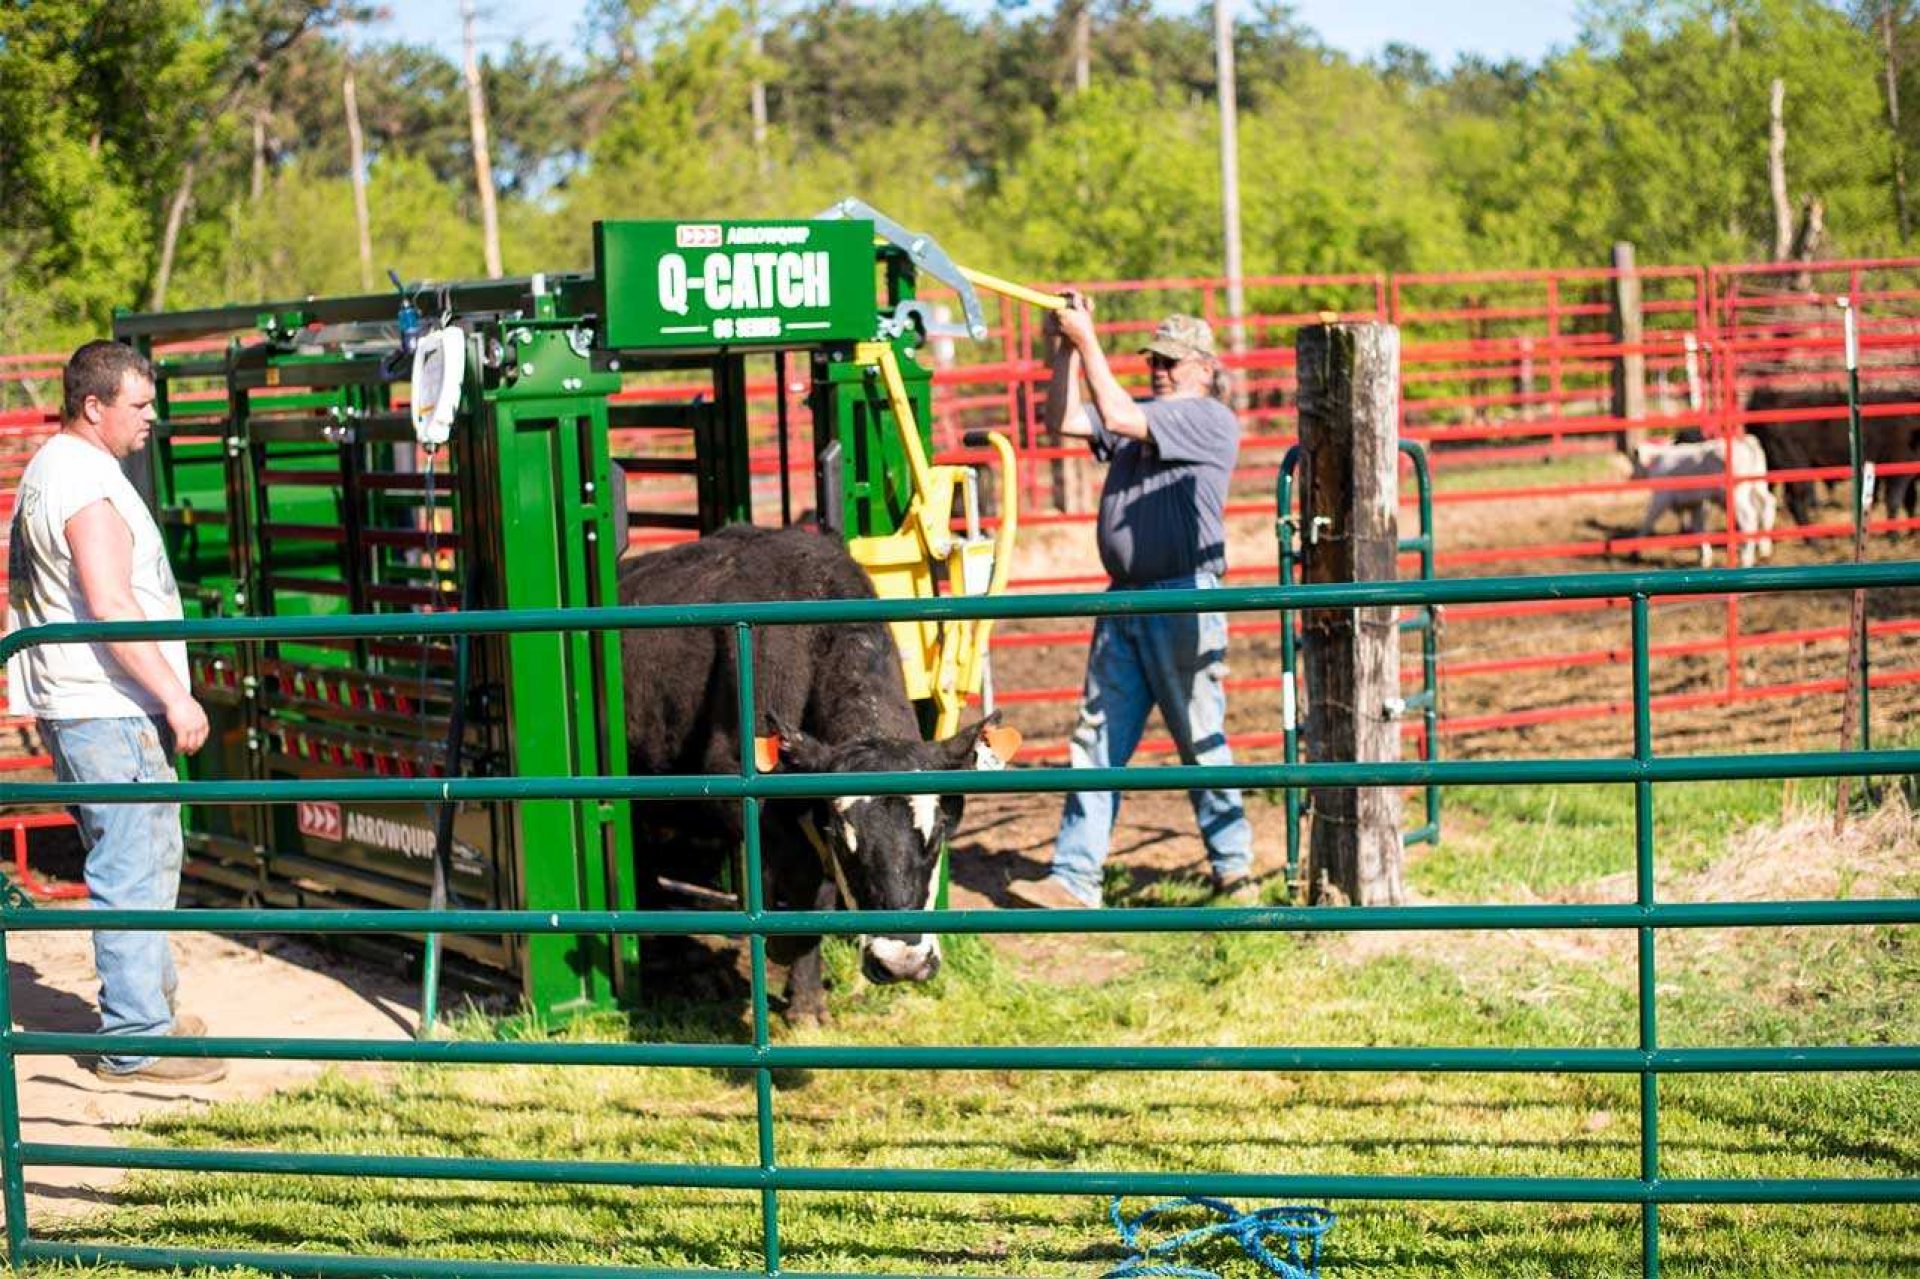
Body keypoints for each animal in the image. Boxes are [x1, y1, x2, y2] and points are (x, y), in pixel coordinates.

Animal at [614, 522, 1013, 1021]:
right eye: (844, 840)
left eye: (937, 832)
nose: (901, 963)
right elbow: (805, 883)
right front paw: (787, 960)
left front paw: (805, 996)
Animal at [1628, 434, 1774, 564]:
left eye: (1635, 461)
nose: (1631, 476)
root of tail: (1747, 442)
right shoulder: (1696, 504)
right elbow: (1698, 528)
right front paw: (1704, 556)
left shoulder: (1661, 498)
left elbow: (1647, 521)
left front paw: (1635, 552)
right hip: (1758, 485)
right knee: (1767, 505)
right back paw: (1764, 549)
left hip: (1736, 495)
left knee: (1749, 518)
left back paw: (1746, 558)